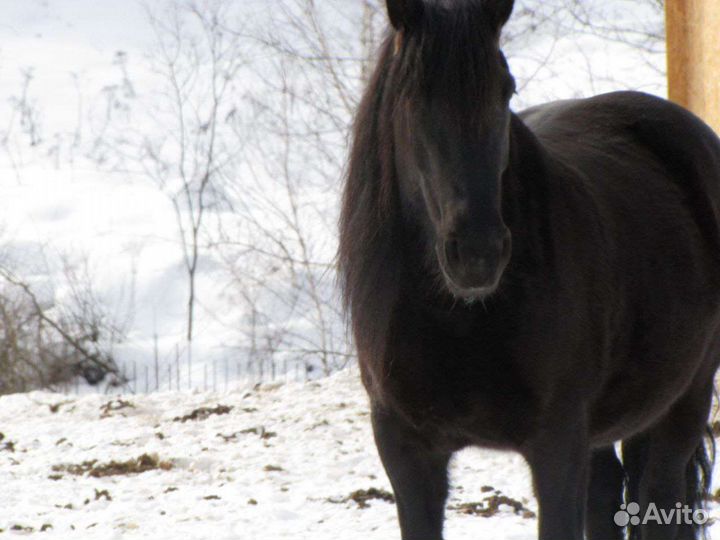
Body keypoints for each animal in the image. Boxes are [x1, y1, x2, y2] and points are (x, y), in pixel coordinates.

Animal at [338, 1, 720, 539]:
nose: (477, 253)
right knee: (607, 495)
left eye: (507, 88)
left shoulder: (556, 446)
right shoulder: (406, 453)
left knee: (657, 494)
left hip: (685, 399)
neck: (458, 320)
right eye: (411, 96)